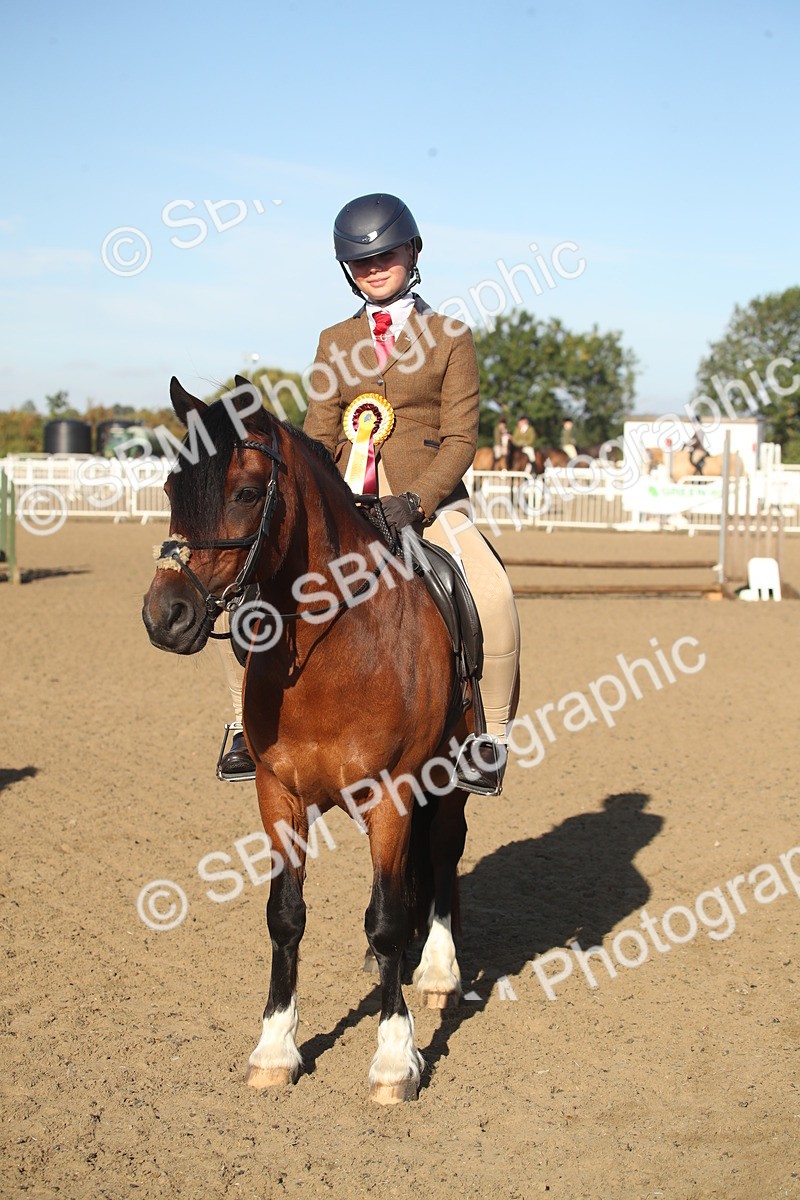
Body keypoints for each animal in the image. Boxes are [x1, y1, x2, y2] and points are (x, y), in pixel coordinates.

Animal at [142, 379, 473, 1105]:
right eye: (171, 486)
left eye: (244, 492)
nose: (165, 616)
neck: (338, 649)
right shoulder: (279, 794)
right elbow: (285, 915)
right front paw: (274, 1047)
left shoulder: (394, 795)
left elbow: (388, 917)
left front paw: (394, 1059)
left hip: (450, 782)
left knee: (440, 855)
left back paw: (437, 971)